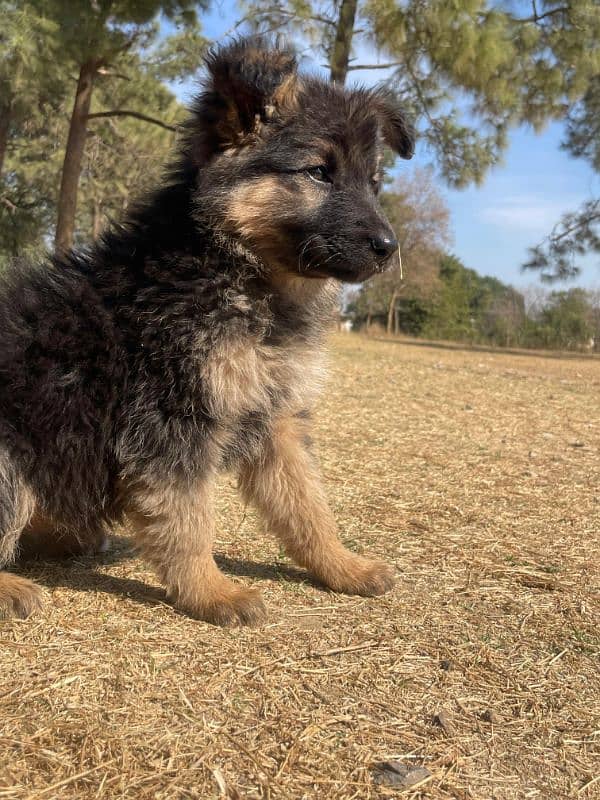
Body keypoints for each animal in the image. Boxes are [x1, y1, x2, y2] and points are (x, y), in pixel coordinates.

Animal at [0, 39, 412, 624]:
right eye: (318, 172)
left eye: (373, 182)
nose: (388, 247)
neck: (235, 266)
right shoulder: (172, 419)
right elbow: (189, 518)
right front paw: (212, 592)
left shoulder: (277, 417)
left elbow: (309, 505)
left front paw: (342, 566)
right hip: (8, 459)